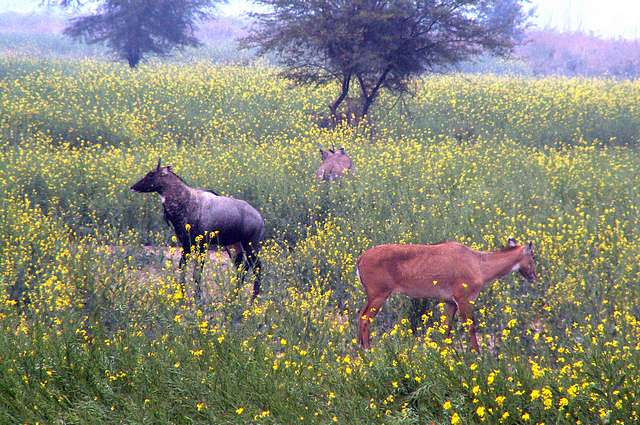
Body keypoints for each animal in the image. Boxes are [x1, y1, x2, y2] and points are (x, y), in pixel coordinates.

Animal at [131, 159, 264, 302]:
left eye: (151, 174)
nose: (133, 187)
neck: (187, 201)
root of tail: (259, 217)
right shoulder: (186, 245)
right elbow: (182, 268)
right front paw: (182, 296)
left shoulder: (202, 246)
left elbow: (197, 273)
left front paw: (198, 298)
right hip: (234, 246)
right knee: (242, 268)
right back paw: (232, 298)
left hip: (250, 244)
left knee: (257, 267)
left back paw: (252, 299)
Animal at [356, 238, 536, 352]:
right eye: (533, 256)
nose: (533, 275)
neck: (480, 265)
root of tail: (360, 259)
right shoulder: (464, 298)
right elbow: (471, 327)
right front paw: (477, 355)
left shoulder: (451, 302)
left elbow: (446, 329)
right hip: (379, 294)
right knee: (364, 318)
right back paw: (368, 351)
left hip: (373, 295)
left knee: (360, 316)